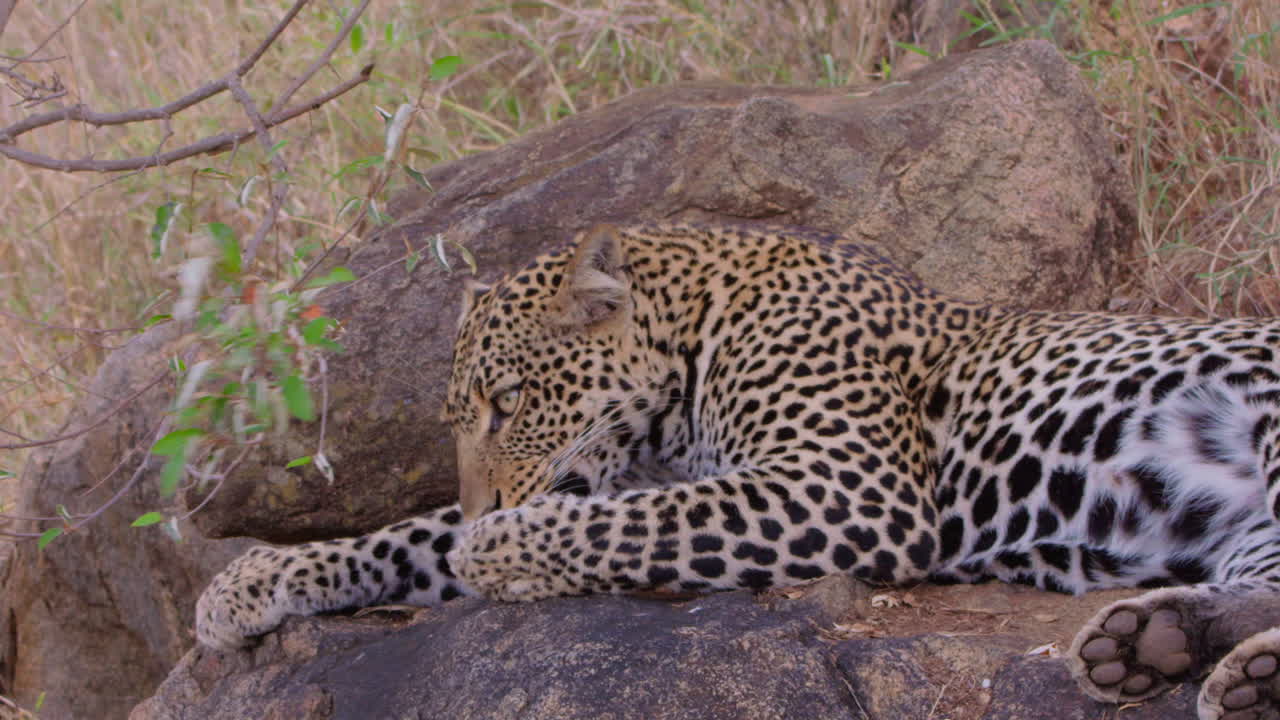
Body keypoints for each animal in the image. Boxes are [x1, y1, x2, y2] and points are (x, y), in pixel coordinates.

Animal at [197, 222, 1280, 720]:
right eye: (458, 419)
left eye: (508, 401)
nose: (485, 501)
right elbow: (407, 535)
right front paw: (247, 584)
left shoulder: (850, 483)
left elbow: (621, 527)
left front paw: (500, 548)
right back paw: (1164, 649)